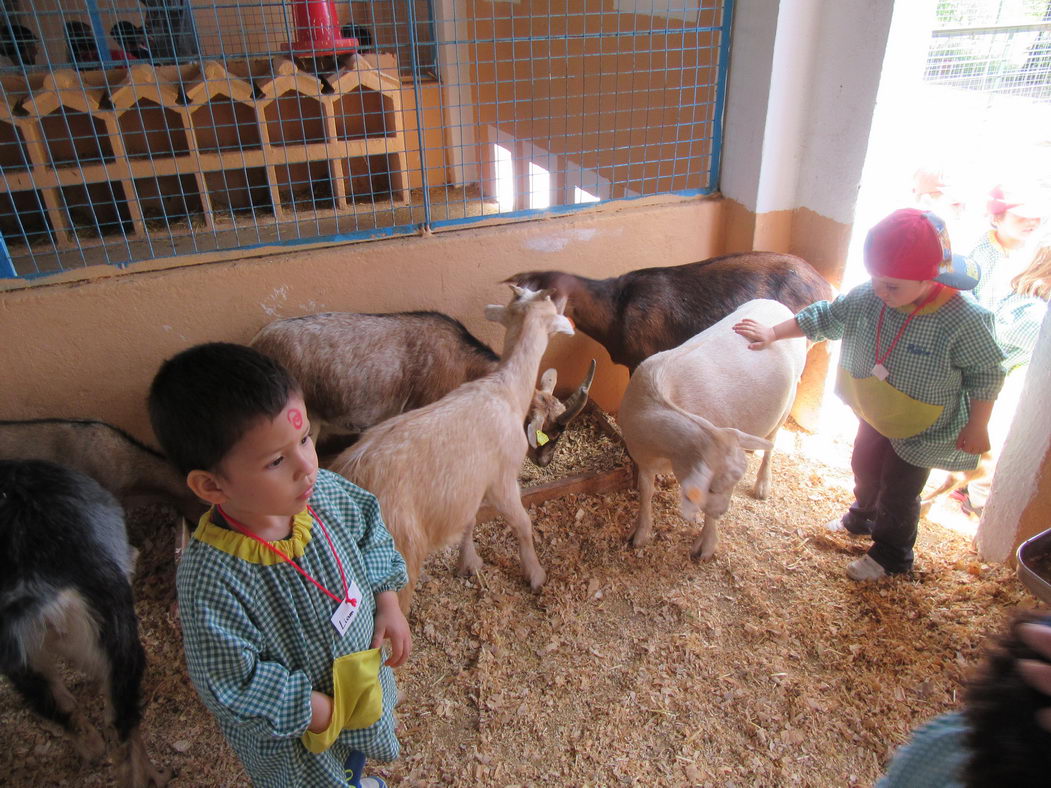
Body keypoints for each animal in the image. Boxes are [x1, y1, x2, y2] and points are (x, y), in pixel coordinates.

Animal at [0, 460, 168, 785]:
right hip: (116, 635)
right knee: (121, 726)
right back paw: (153, 776)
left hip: (24, 663)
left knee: (60, 707)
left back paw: (93, 750)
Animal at [330, 287, 571, 613]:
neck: (505, 389)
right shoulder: (502, 480)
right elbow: (522, 523)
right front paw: (535, 574)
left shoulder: (469, 484)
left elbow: (469, 521)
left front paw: (468, 563)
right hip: (401, 554)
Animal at [617, 298, 807, 563]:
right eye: (711, 487)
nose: (723, 512)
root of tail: (776, 303)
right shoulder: (643, 457)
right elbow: (646, 492)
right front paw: (640, 533)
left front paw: (706, 544)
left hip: (789, 399)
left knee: (772, 441)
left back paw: (762, 484)